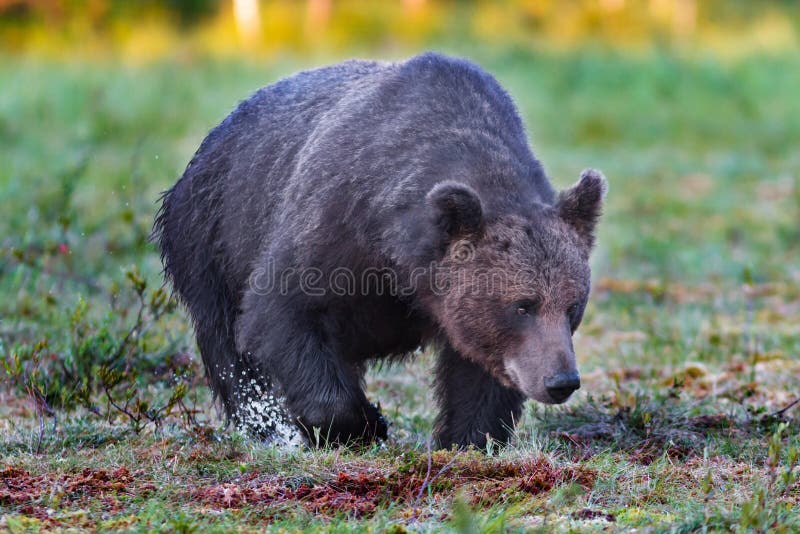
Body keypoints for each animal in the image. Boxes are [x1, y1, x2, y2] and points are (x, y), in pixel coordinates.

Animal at [154, 52, 606, 449]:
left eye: (573, 306)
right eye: (522, 305)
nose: (561, 381)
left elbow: (479, 374)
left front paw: (467, 438)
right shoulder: (330, 228)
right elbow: (281, 313)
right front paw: (363, 424)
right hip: (211, 235)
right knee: (229, 351)